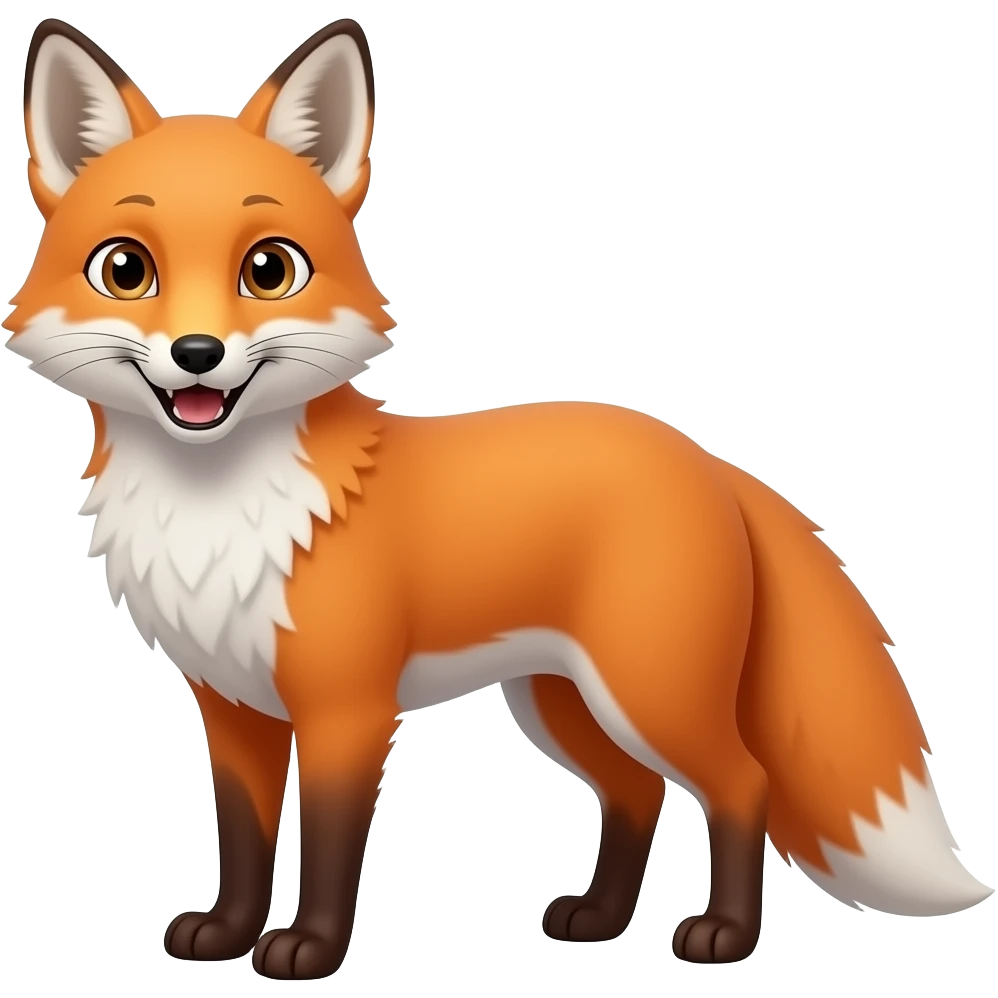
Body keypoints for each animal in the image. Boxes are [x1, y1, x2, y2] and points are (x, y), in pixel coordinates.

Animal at [4, 15, 992, 982]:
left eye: (269, 270)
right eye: (126, 270)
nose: (198, 355)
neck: (220, 513)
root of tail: (702, 457)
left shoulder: (347, 710)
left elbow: (327, 844)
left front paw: (309, 950)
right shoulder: (233, 705)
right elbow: (244, 841)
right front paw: (227, 933)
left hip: (647, 693)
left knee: (741, 784)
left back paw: (724, 935)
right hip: (563, 701)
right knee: (638, 791)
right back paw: (598, 919)